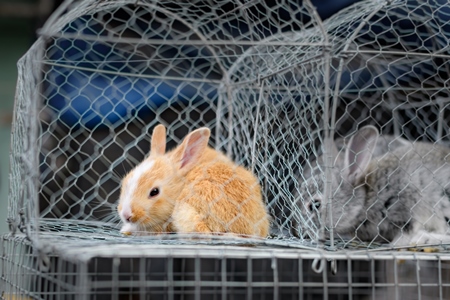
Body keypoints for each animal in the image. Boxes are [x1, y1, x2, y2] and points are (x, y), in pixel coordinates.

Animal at [298, 125, 450, 246]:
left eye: (315, 205)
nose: (302, 230)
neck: (366, 200)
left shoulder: (408, 205)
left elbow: (406, 231)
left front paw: (396, 244)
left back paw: (424, 239)